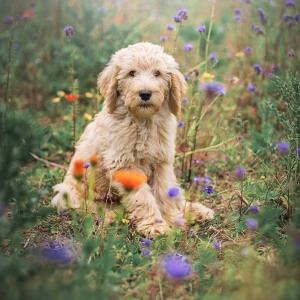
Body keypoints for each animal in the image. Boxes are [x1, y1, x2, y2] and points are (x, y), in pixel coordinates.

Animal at [52, 41, 214, 237]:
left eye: (157, 73)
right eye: (131, 73)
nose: (145, 93)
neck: (143, 121)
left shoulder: (162, 162)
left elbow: (164, 193)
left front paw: (172, 219)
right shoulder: (125, 165)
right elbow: (142, 197)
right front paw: (154, 225)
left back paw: (195, 211)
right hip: (69, 192)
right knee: (85, 206)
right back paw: (109, 215)